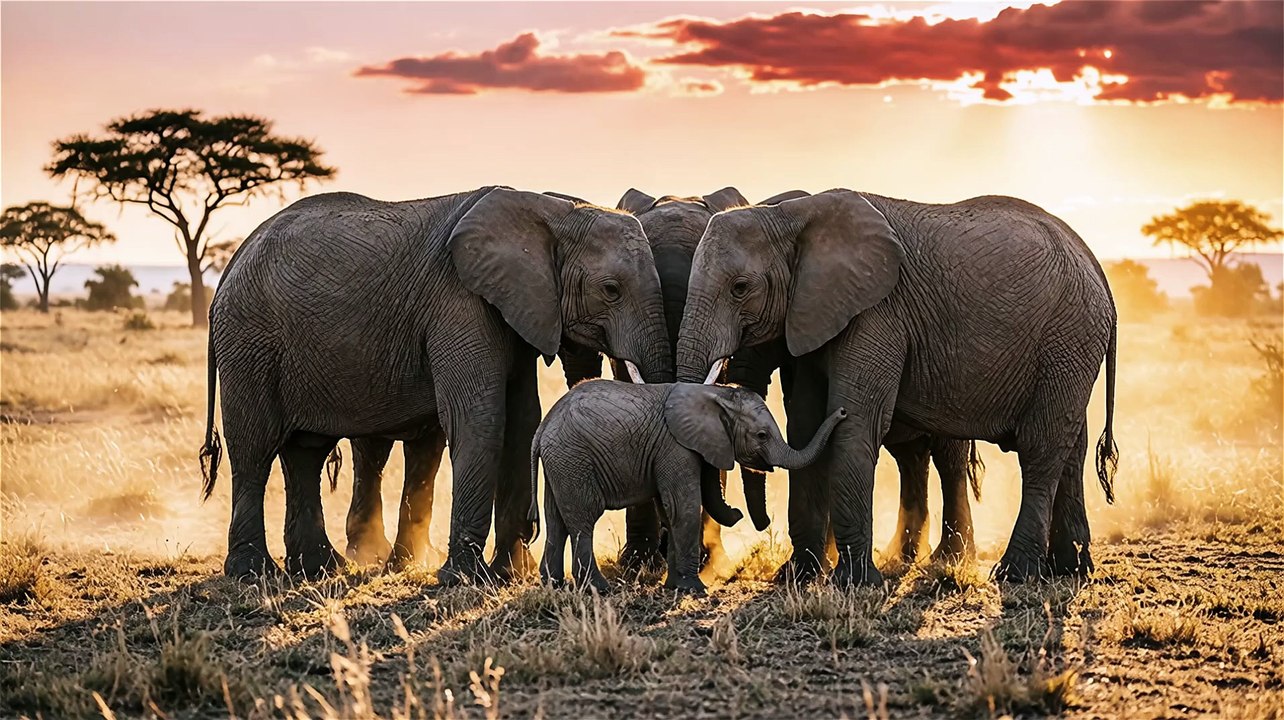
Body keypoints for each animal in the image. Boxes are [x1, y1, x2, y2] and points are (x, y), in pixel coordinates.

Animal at [198, 187, 673, 581]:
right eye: (610, 290)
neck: (553, 210)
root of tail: (232, 262)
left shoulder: (516, 310)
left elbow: (522, 420)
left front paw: (509, 574)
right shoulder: (460, 303)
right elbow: (480, 419)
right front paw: (465, 579)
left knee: (306, 453)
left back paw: (319, 569)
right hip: (248, 341)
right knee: (254, 448)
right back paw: (252, 574)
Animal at [529, 380, 846, 593]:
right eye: (762, 435)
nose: (842, 412)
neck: (717, 394)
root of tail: (541, 429)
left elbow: (670, 511)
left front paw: (674, 586)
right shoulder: (676, 447)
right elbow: (685, 506)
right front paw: (695, 589)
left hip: (561, 463)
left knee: (556, 521)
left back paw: (553, 585)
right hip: (573, 460)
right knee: (583, 522)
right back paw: (598, 588)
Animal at [674, 190, 1119, 586]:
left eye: (740, 288)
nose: (743, 518)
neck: (792, 215)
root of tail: (1095, 263)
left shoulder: (877, 312)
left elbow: (857, 426)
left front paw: (854, 584)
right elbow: (805, 427)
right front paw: (796, 578)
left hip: (1068, 336)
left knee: (1041, 448)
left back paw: (1015, 573)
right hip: (1071, 347)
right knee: (1071, 446)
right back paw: (1071, 569)